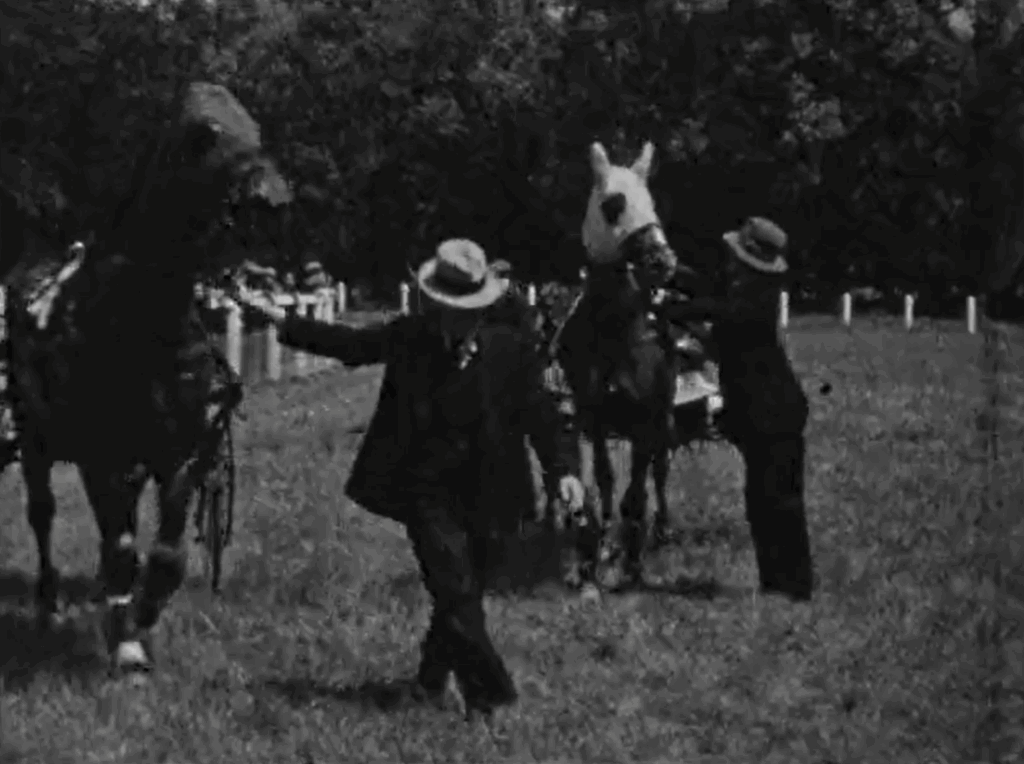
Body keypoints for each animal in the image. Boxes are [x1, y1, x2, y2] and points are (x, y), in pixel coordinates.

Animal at [3, 81, 290, 673]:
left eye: (254, 126)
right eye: (206, 131)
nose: (272, 197)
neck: (140, 318)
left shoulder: (180, 452)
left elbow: (166, 554)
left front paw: (144, 613)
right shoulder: (101, 457)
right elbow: (119, 550)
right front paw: (126, 641)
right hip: (35, 438)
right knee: (41, 514)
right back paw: (48, 605)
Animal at [551, 141, 691, 586]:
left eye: (652, 202)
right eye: (614, 204)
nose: (664, 261)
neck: (616, 332)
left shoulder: (647, 417)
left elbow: (638, 485)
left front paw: (632, 558)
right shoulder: (594, 417)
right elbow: (606, 479)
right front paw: (602, 548)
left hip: (665, 417)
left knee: (660, 470)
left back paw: (660, 529)